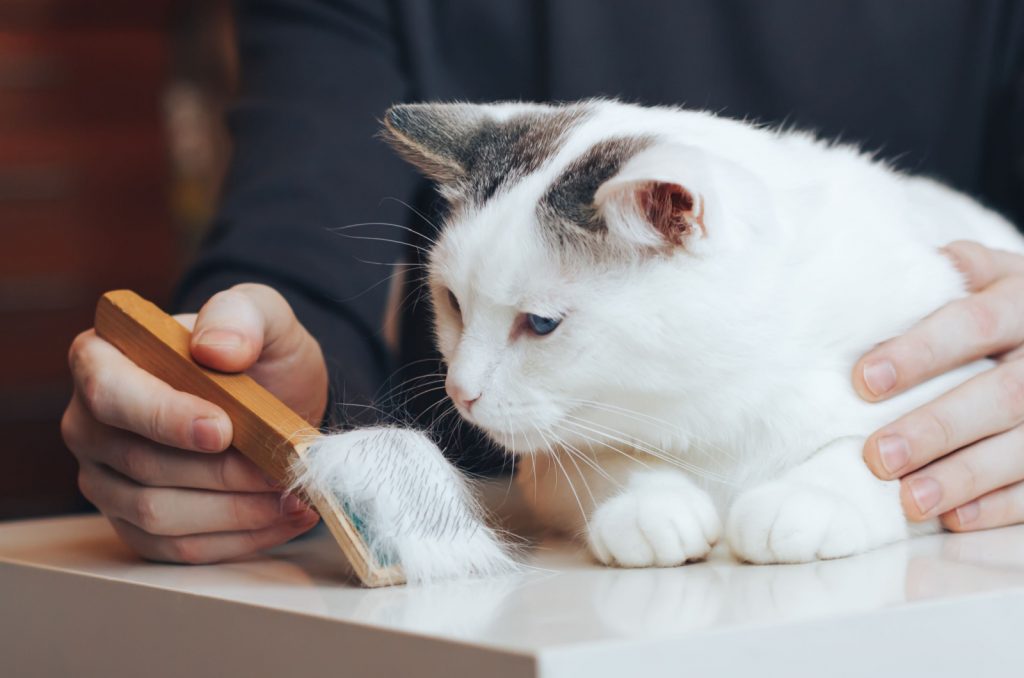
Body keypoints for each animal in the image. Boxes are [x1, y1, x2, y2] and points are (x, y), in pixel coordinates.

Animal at [380, 99, 1019, 569]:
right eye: (453, 302)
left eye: (540, 324)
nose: (460, 391)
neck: (718, 408)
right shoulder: (551, 466)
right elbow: (607, 464)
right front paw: (649, 507)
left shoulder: (931, 386)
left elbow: (875, 454)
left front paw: (808, 500)